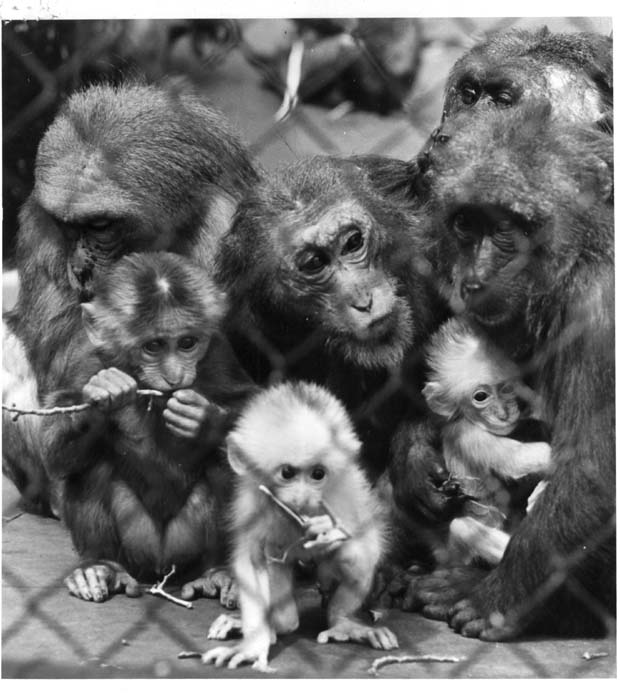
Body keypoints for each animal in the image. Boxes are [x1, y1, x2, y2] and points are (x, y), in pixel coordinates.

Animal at [3, 81, 259, 514]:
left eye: (101, 226)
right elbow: (57, 345)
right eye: (70, 227)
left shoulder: (229, 221)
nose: (80, 267)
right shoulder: (39, 220)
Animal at [38, 252, 256, 604]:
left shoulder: (219, 352)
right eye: (153, 346)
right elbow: (52, 450)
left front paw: (204, 419)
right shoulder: (83, 358)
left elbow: (252, 404)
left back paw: (220, 570)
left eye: (187, 343)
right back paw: (100, 566)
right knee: (90, 464)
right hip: (137, 546)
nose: (174, 375)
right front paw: (105, 392)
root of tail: (161, 571)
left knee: (224, 462)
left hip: (185, 547)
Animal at [202, 381, 398, 672]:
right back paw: (267, 626)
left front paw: (330, 534)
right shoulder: (251, 503)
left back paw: (343, 622)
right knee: (286, 614)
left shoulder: (345, 491)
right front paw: (253, 644)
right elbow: (250, 561)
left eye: (318, 474)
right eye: (287, 473)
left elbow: (366, 548)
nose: (304, 497)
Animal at [421, 317, 552, 566]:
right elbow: (519, 461)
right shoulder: (468, 436)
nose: (503, 413)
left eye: (507, 388)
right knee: (461, 527)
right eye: (481, 396)